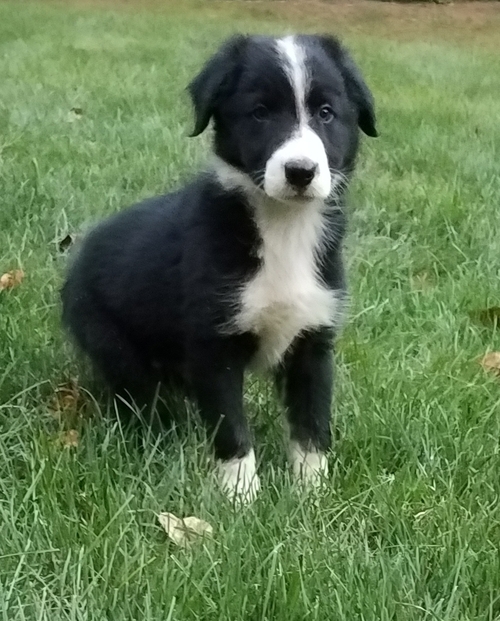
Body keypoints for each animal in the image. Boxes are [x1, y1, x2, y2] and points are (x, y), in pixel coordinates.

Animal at [61, 31, 376, 502]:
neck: (283, 226)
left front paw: (312, 494)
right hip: (110, 340)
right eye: (260, 112)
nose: (300, 171)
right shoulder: (213, 346)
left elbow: (312, 423)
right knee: (135, 393)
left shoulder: (313, 339)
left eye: (326, 113)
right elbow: (231, 428)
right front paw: (241, 497)